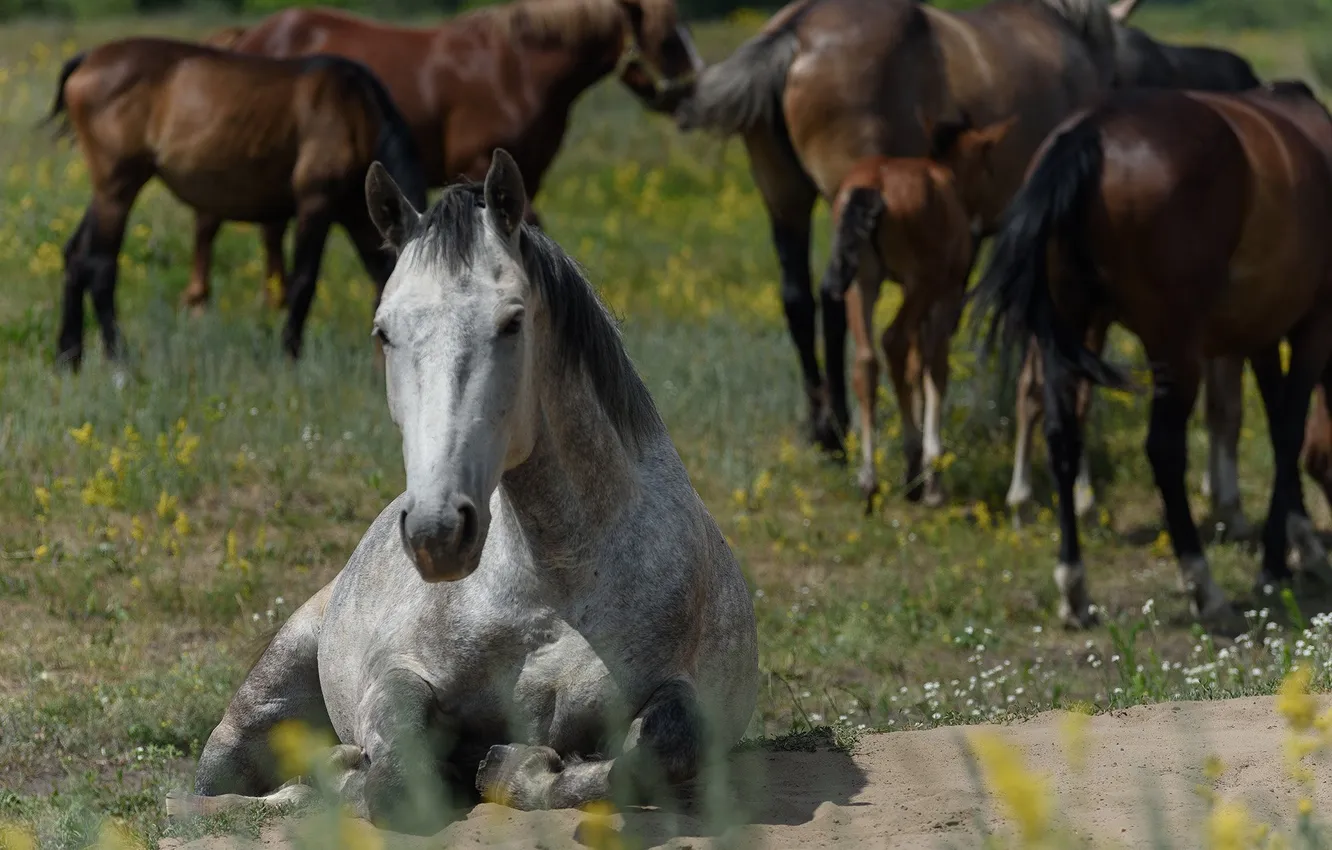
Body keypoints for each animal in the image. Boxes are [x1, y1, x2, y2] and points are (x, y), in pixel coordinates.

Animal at [46, 38, 427, 368]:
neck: (358, 114)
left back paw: (69, 356)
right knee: (100, 263)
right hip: (118, 186)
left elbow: (377, 279)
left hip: (108, 190)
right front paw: (289, 356)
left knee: (76, 255)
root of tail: (87, 59)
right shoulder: (315, 204)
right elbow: (303, 282)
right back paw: (117, 359)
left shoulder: (357, 216)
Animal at [165, 150, 759, 833]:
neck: (552, 582)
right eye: (384, 331)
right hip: (257, 707)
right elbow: (394, 778)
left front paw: (511, 768)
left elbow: (651, 754)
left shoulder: (687, 699)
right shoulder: (397, 676)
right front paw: (357, 772)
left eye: (513, 321)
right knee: (211, 795)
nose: (437, 532)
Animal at [192, 0, 702, 312]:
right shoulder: (480, 167)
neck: (515, 67)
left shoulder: (526, 176)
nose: (694, 91)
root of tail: (250, 35)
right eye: (668, 40)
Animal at [676, 0, 1140, 456]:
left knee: (797, 299)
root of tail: (797, 29)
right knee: (837, 297)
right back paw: (842, 426)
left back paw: (821, 428)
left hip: (783, 196)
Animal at [820, 115, 1014, 511]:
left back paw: (869, 479)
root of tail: (873, 185)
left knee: (866, 361)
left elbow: (915, 364)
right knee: (893, 342)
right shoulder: (946, 294)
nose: (996, 218)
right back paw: (913, 473)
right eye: (989, 167)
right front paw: (933, 475)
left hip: (861, 284)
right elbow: (933, 367)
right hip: (921, 282)